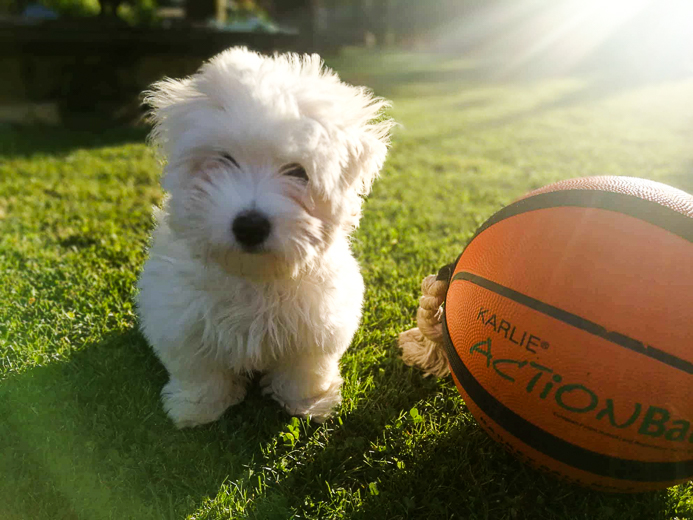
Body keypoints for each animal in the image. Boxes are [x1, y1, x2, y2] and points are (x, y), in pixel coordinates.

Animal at [137, 47, 394, 426]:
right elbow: (199, 368)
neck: (254, 277)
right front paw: (197, 408)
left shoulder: (318, 322)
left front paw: (309, 403)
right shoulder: (180, 316)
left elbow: (305, 367)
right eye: (224, 159)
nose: (250, 226)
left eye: (299, 172)